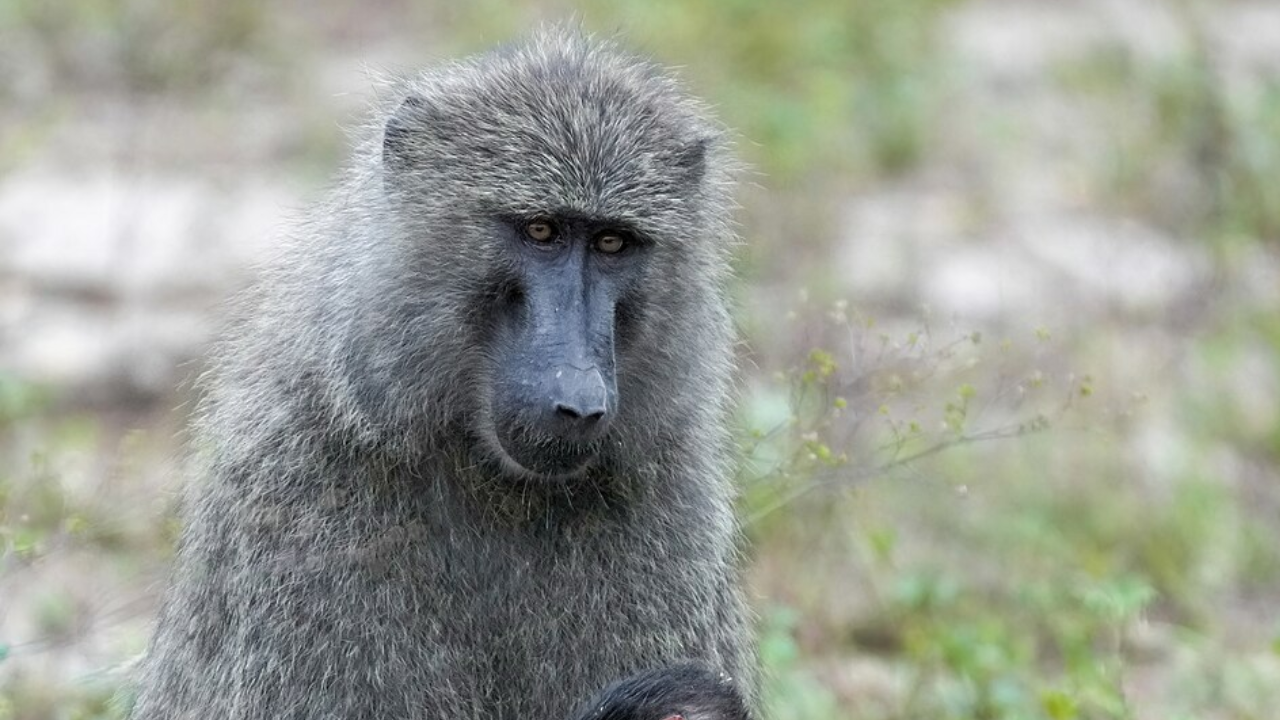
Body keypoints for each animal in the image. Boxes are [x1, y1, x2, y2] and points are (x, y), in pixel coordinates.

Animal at [130, 27, 756, 720]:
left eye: (612, 243)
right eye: (541, 230)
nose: (579, 398)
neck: (484, 473)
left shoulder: (667, 503)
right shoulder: (299, 495)